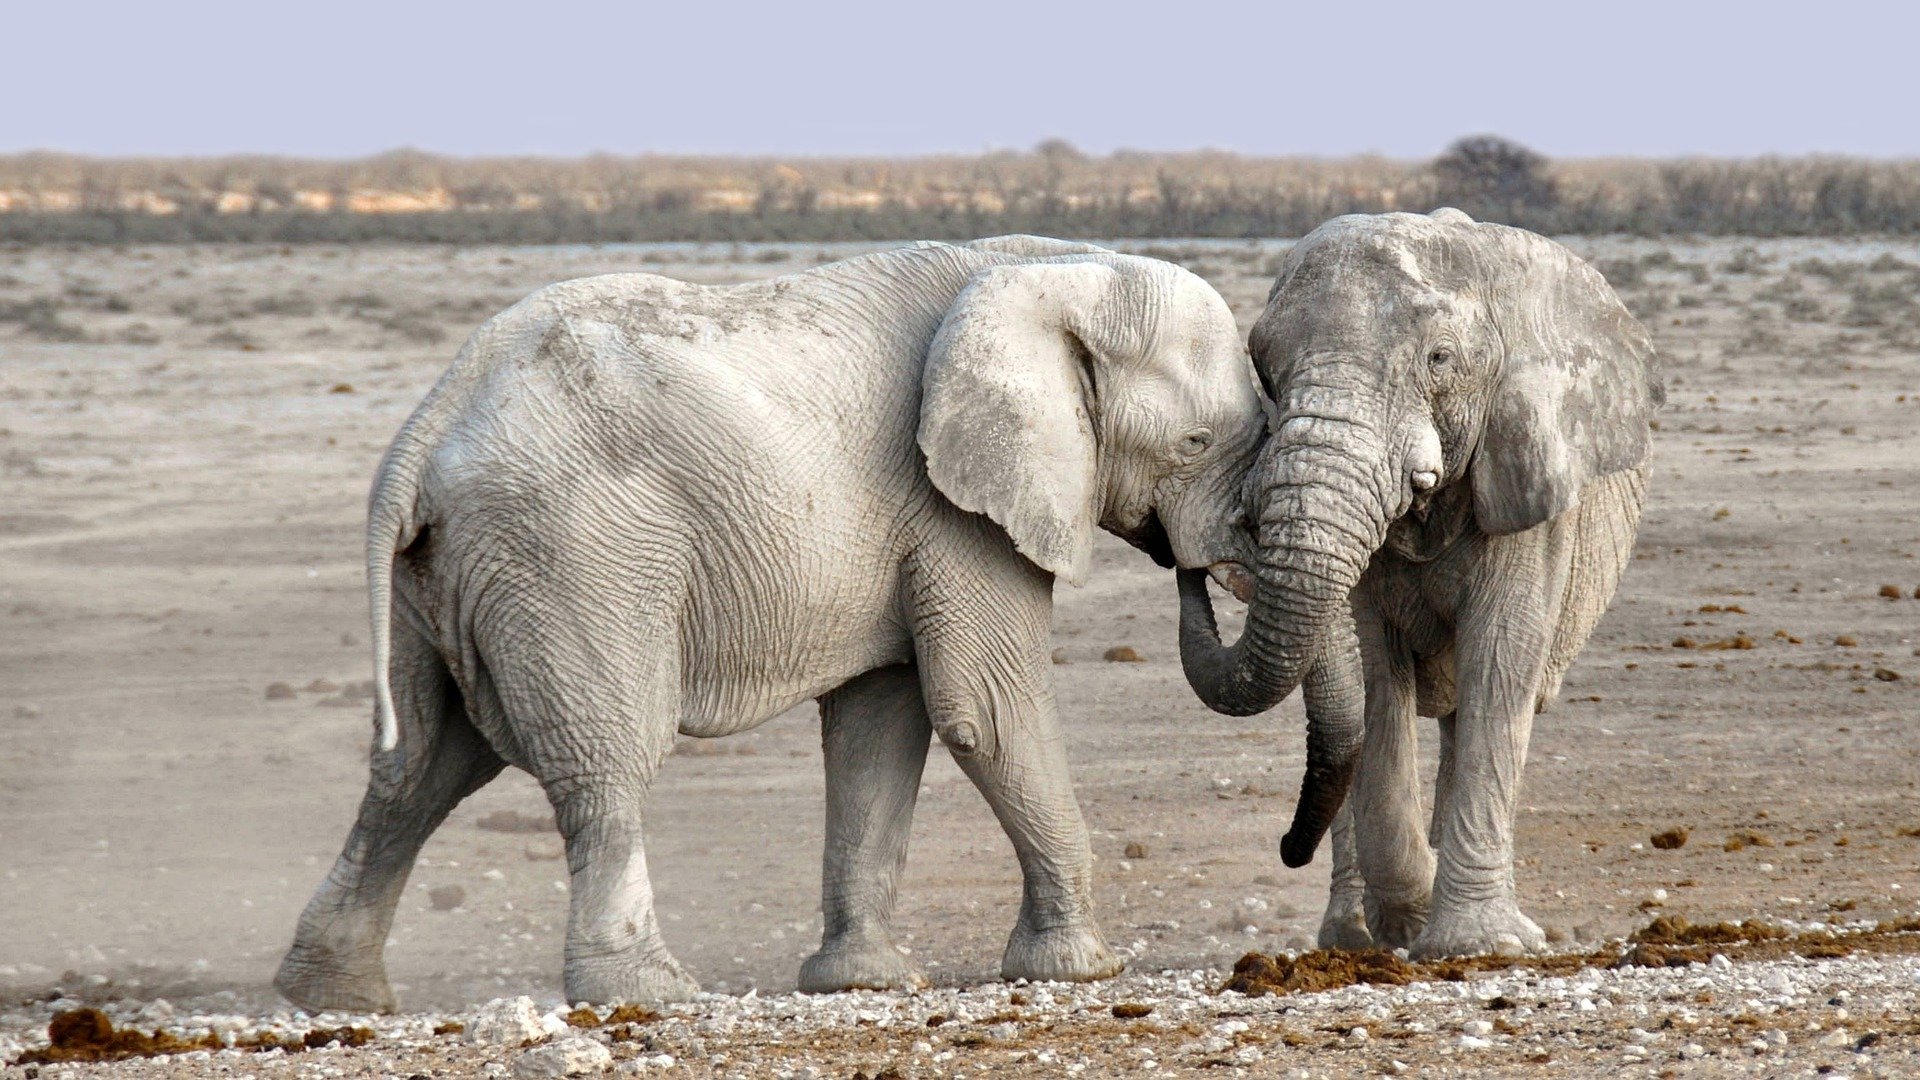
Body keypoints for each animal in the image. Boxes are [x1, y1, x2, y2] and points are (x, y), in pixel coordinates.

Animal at [270, 233, 1259, 1006]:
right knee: (605, 759)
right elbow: (985, 709)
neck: (1057, 270)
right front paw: (1083, 969)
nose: (1193, 568)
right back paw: (652, 992)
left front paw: (862, 983)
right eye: (1195, 444)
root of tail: (424, 429)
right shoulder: (955, 507)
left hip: (450, 574)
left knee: (420, 766)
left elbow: (880, 724)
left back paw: (332, 995)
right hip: (572, 554)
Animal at [1175, 212, 1658, 957]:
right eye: (1265, 368)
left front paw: (1479, 945)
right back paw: (1353, 937)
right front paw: (1413, 915)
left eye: (1439, 360)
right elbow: (1374, 676)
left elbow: (1502, 661)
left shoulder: (1528, 477)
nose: (1193, 565)